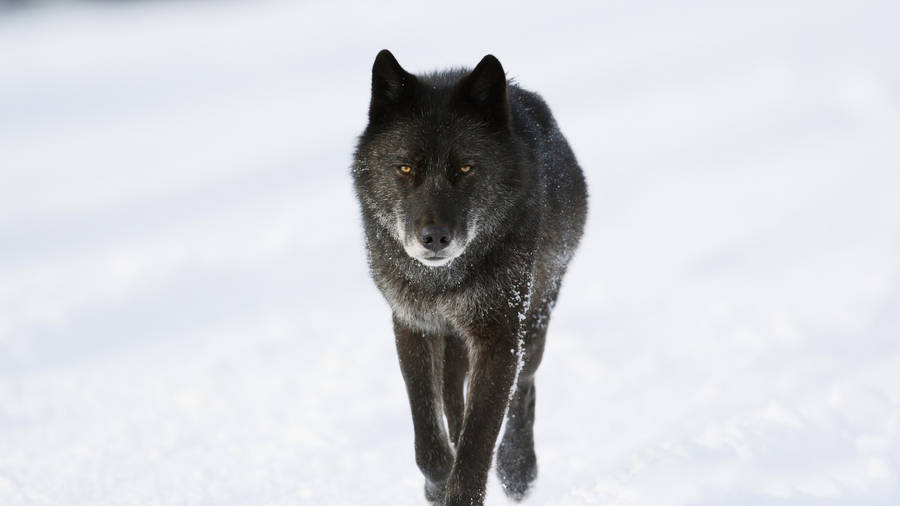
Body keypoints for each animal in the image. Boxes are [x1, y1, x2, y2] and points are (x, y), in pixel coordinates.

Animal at [352, 49, 587, 505]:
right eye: (404, 168)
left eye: (465, 167)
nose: (434, 238)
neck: (442, 283)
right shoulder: (414, 324)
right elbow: (429, 433)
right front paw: (437, 481)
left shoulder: (498, 334)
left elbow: (479, 441)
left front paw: (469, 482)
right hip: (456, 340)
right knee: (452, 396)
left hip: (535, 318)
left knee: (524, 386)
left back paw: (517, 468)